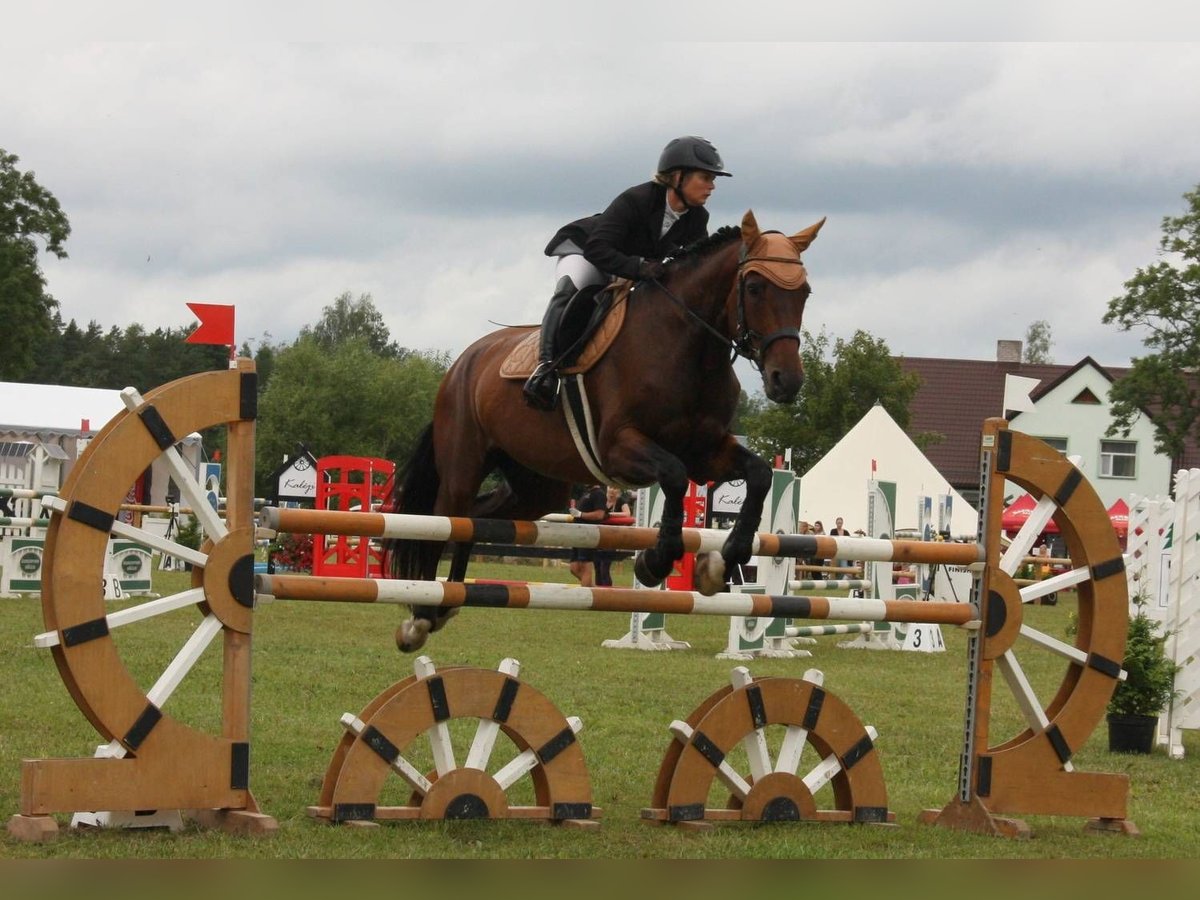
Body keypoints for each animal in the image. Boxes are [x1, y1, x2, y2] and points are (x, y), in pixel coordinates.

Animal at [388, 210, 820, 648]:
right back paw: (421, 616)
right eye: (754, 287)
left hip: (537, 486)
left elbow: (760, 474)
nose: (787, 381)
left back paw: (446, 603)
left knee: (474, 522)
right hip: (464, 464)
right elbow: (674, 476)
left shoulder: (706, 451)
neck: (687, 347)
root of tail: (462, 362)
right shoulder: (620, 448)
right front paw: (654, 562)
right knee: (444, 519)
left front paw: (719, 563)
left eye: (804, 292)